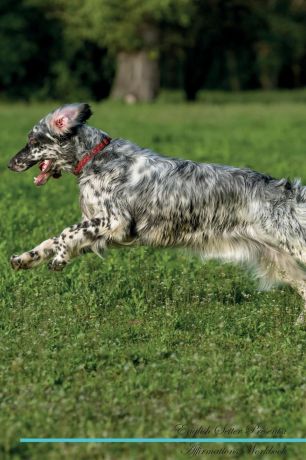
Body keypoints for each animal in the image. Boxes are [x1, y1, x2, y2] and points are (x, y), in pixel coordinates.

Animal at [6, 103, 306, 324]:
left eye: (32, 141)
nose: (9, 164)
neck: (96, 158)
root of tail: (290, 192)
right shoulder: (98, 227)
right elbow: (52, 239)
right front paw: (25, 258)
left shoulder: (116, 222)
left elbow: (66, 233)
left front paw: (58, 259)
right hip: (278, 259)